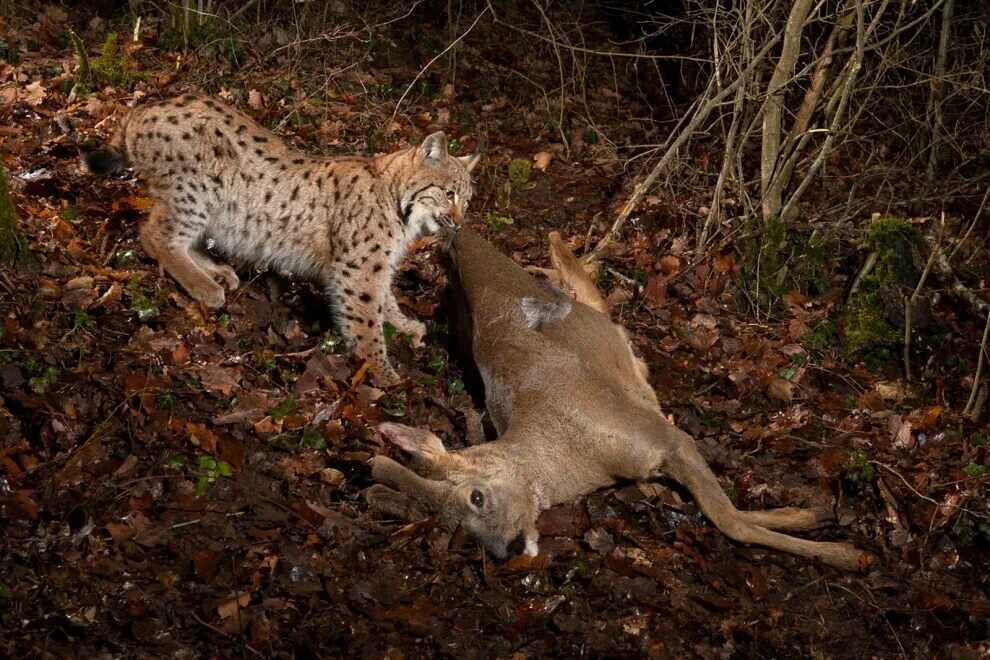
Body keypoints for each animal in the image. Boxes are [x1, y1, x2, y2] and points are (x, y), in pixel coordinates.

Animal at [366, 229, 868, 568]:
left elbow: (730, 519)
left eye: (476, 497)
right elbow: (724, 510)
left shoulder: (665, 439)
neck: (580, 458)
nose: (508, 549)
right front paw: (815, 515)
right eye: (459, 532)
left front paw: (843, 552)